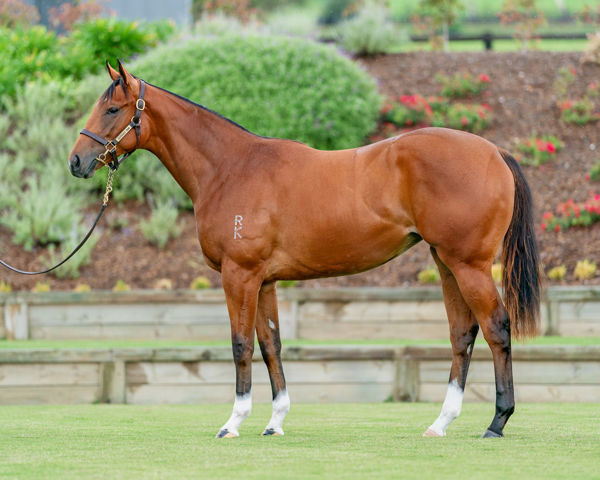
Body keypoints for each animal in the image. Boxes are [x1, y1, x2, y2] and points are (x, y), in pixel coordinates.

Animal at [69, 60, 540, 438]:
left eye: (112, 109)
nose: (76, 161)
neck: (230, 168)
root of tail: (495, 151)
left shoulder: (239, 274)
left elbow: (240, 345)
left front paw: (233, 423)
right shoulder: (264, 281)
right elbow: (270, 345)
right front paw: (274, 422)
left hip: (469, 265)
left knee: (497, 327)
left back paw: (497, 421)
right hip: (446, 263)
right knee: (463, 334)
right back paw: (441, 423)